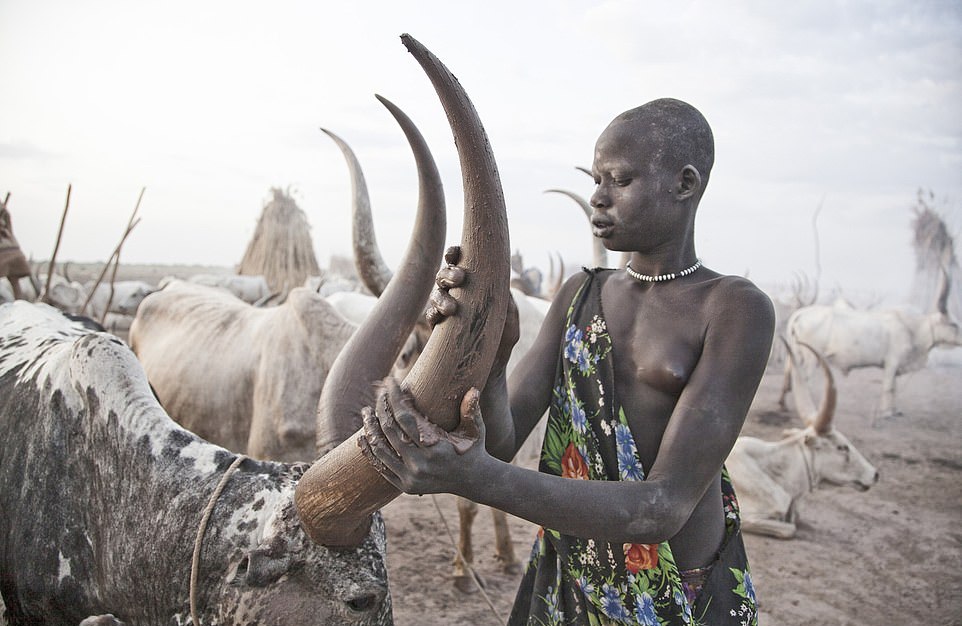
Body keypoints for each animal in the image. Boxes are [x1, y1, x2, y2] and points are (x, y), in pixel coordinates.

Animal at [780, 270, 960, 416]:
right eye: (954, 324)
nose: (961, 340)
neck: (913, 328)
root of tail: (800, 313)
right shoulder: (892, 362)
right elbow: (889, 387)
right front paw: (887, 413)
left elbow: (893, 388)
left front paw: (895, 410)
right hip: (811, 357)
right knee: (804, 379)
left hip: (795, 354)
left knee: (789, 375)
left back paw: (783, 404)